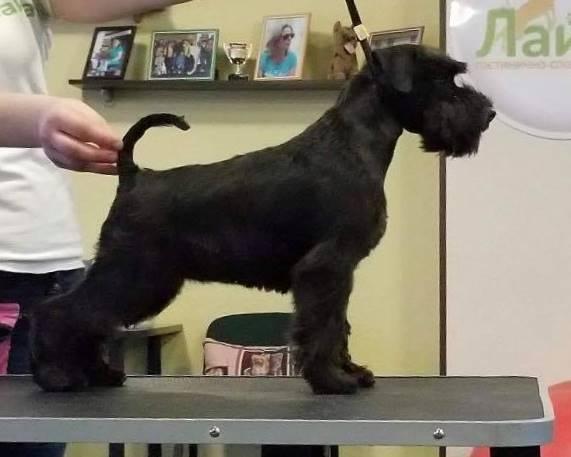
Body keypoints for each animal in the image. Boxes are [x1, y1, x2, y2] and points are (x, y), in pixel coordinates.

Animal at [31, 44, 495, 395]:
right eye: (444, 78)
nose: (487, 114)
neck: (354, 143)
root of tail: (133, 174)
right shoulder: (326, 268)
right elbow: (323, 326)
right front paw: (332, 380)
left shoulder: (340, 272)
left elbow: (339, 324)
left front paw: (350, 371)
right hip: (133, 272)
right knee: (64, 311)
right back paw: (55, 374)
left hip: (143, 278)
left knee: (91, 317)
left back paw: (96, 373)